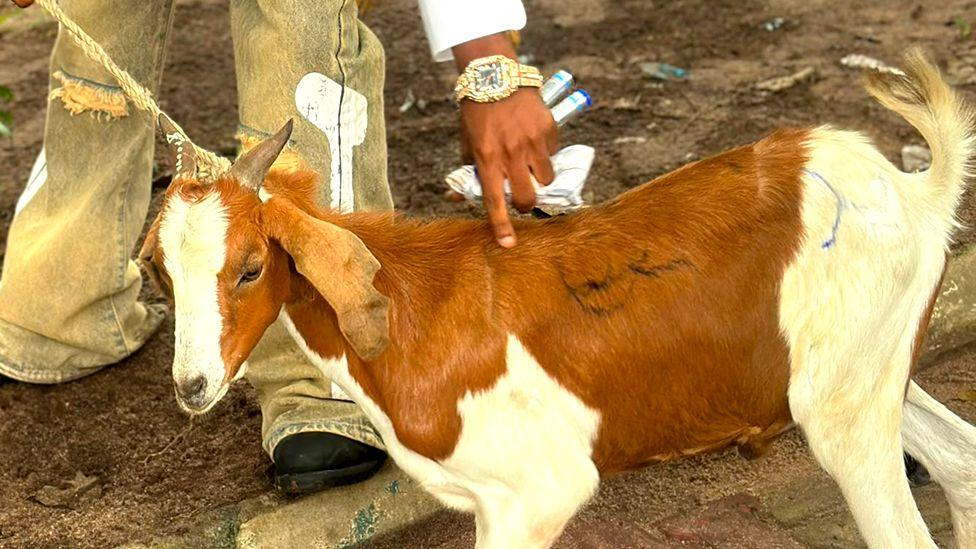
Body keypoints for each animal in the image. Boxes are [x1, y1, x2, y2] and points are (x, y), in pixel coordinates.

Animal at [140, 49, 976, 548]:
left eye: (251, 267)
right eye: (160, 272)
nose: (191, 385)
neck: (413, 306)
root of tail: (915, 188)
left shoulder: (538, 490)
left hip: (844, 411)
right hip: (857, 373)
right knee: (961, 459)